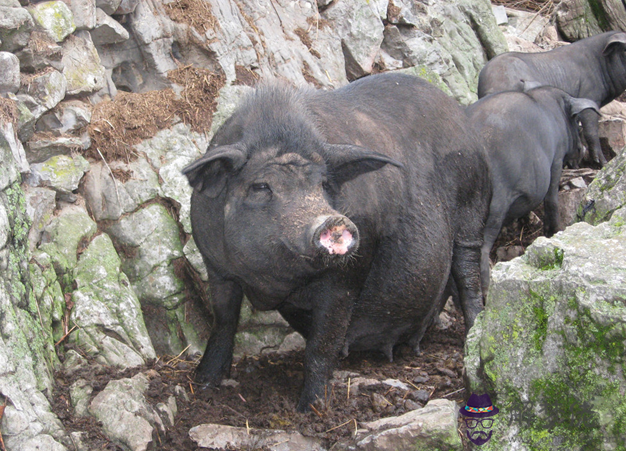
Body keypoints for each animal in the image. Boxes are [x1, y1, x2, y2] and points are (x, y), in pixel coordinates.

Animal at [180, 73, 488, 414]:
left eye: (325, 185)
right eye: (260, 187)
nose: (332, 220)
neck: (271, 282)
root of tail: (461, 117)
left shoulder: (347, 276)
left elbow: (323, 342)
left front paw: (310, 408)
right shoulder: (217, 267)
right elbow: (223, 320)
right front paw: (204, 382)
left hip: (472, 208)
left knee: (468, 274)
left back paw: (474, 333)